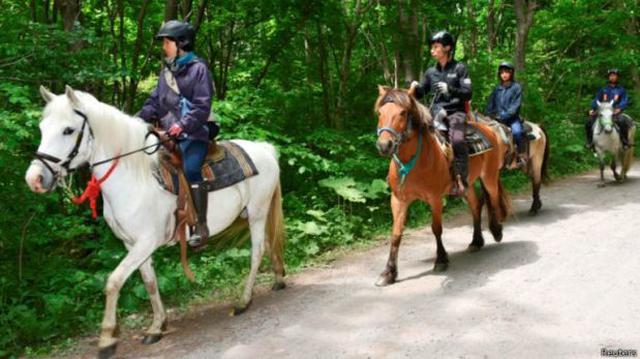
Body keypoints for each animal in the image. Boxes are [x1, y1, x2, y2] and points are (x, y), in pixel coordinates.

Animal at [25, 86, 284, 358]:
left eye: (68, 130)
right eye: (42, 128)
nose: (35, 179)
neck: (134, 177)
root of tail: (264, 148)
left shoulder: (146, 242)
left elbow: (113, 281)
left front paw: (107, 339)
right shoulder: (132, 245)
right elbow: (149, 282)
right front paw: (157, 327)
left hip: (257, 212)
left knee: (257, 251)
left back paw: (244, 301)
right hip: (254, 214)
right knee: (269, 242)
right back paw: (278, 279)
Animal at [376, 87, 510, 286]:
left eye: (403, 113)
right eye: (380, 113)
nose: (385, 145)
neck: (414, 160)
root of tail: (489, 129)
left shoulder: (435, 199)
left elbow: (436, 228)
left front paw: (441, 259)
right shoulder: (398, 200)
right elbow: (396, 234)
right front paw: (388, 272)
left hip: (489, 177)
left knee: (492, 198)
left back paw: (496, 230)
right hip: (467, 185)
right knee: (476, 205)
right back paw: (476, 241)